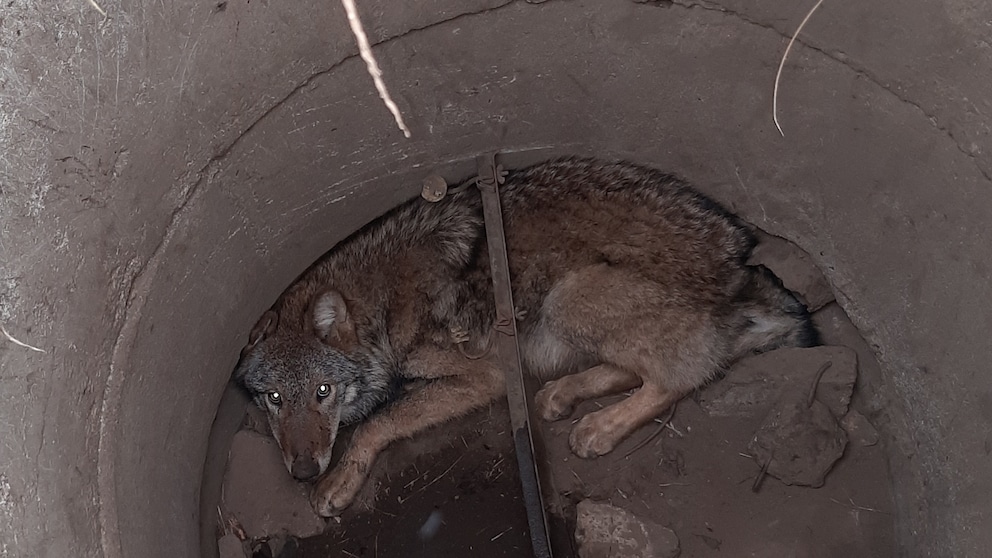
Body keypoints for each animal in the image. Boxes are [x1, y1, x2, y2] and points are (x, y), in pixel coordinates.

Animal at [236, 155, 816, 520]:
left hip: (569, 294)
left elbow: (378, 423)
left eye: (323, 392)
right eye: (273, 398)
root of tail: (740, 272)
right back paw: (563, 395)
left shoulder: (486, 376)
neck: (379, 303)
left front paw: (338, 482)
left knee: (678, 377)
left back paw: (598, 428)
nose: (303, 472)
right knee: (641, 366)